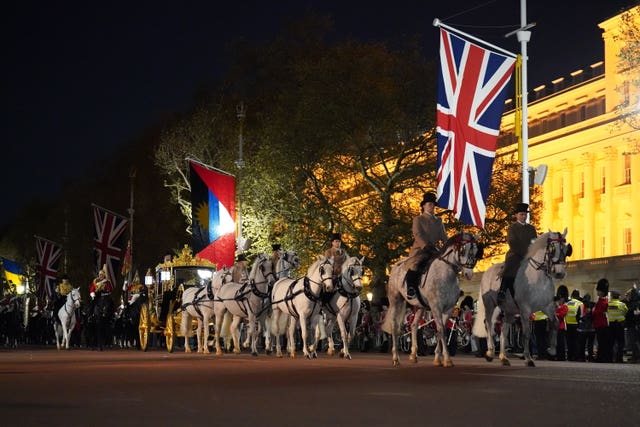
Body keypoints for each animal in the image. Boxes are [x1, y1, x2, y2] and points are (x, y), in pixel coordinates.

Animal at [384, 232, 480, 366]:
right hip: (395, 301)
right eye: (462, 250)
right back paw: (395, 358)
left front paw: (437, 358)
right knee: (394, 326)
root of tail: (397, 266)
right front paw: (447, 359)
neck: (446, 275)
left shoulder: (449, 309)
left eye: (476, 250)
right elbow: (441, 330)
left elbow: (442, 330)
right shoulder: (436, 307)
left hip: (420, 307)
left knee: (414, 325)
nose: (469, 274)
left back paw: (413, 355)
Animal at [472, 229, 572, 366]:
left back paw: (503, 357)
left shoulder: (547, 307)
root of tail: (487, 271)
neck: (538, 278)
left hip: (509, 310)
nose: (559, 273)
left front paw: (551, 350)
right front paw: (528, 358)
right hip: (490, 305)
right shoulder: (525, 310)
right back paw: (490, 352)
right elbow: (526, 334)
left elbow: (555, 323)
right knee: (488, 325)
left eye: (565, 249)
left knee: (503, 330)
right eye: (552, 249)